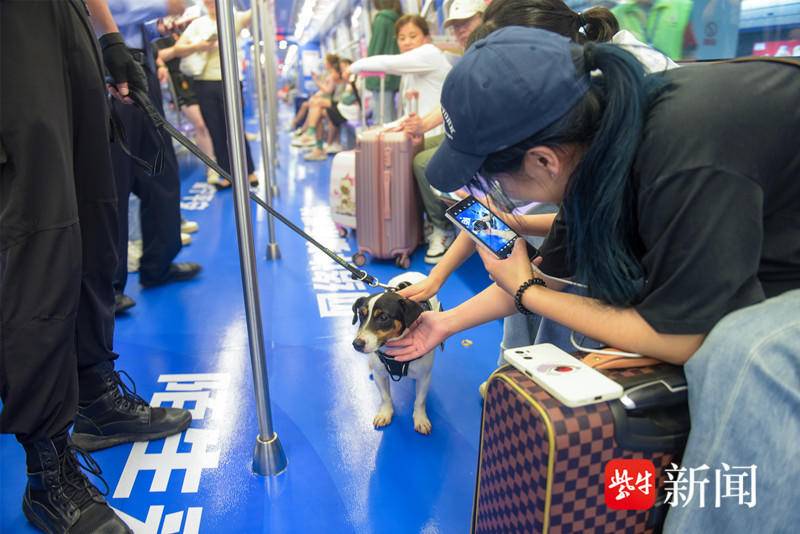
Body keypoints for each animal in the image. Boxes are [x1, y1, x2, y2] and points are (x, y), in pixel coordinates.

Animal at [350, 272, 438, 436]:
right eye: (361, 315)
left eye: (383, 317)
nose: (356, 344)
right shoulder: (380, 374)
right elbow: (385, 397)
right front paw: (385, 413)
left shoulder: (424, 377)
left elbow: (420, 400)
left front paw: (420, 419)